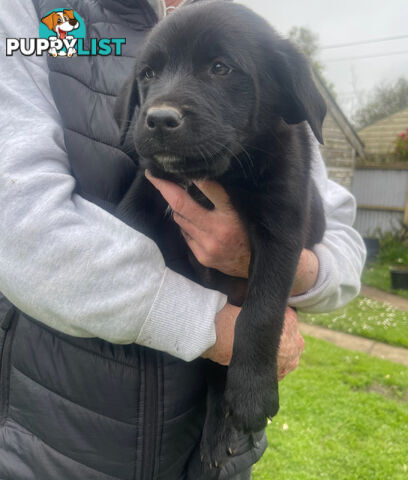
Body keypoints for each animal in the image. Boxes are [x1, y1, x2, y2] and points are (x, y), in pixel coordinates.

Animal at [115, 0, 326, 472]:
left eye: (219, 68)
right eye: (148, 74)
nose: (158, 120)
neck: (220, 175)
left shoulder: (283, 228)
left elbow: (260, 314)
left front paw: (252, 394)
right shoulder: (148, 191)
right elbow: (125, 227)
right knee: (213, 380)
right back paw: (216, 441)